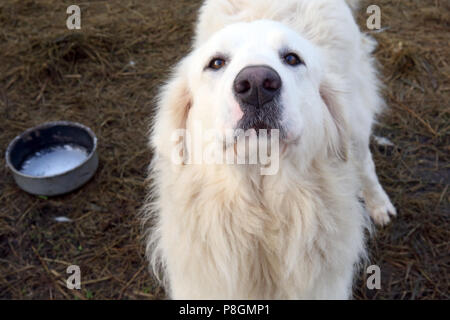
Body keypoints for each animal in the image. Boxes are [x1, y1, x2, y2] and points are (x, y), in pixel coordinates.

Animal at [145, 0, 398, 300]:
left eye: (292, 58)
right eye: (216, 63)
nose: (256, 84)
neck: (263, 208)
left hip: (356, 124)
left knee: (365, 164)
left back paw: (379, 204)